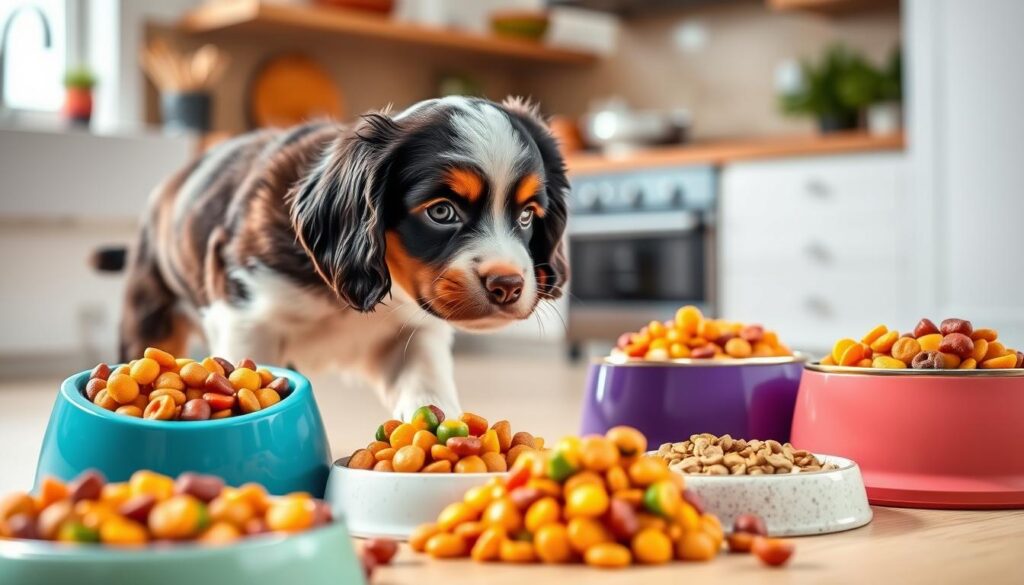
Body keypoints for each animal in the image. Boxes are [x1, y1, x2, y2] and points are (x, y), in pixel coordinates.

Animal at [121, 96, 569, 418]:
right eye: (442, 212)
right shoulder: (245, 319)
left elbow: (425, 382)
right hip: (150, 314)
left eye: (527, 215)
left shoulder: (412, 332)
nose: (508, 285)